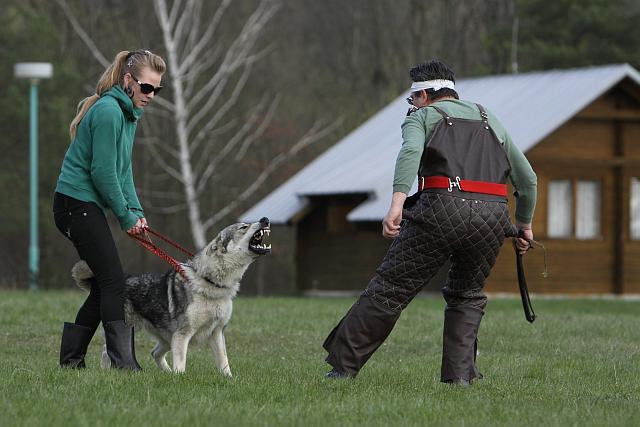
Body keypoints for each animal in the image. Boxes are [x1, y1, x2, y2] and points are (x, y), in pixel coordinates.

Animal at [71, 219, 272, 376]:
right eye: (244, 227)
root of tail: (124, 280)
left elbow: (224, 362)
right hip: (138, 330)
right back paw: (110, 371)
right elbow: (181, 363)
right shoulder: (183, 334)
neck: (211, 282)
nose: (265, 219)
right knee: (107, 351)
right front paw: (181, 379)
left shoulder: (217, 332)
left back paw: (167, 373)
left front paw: (229, 380)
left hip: (168, 339)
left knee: (155, 353)